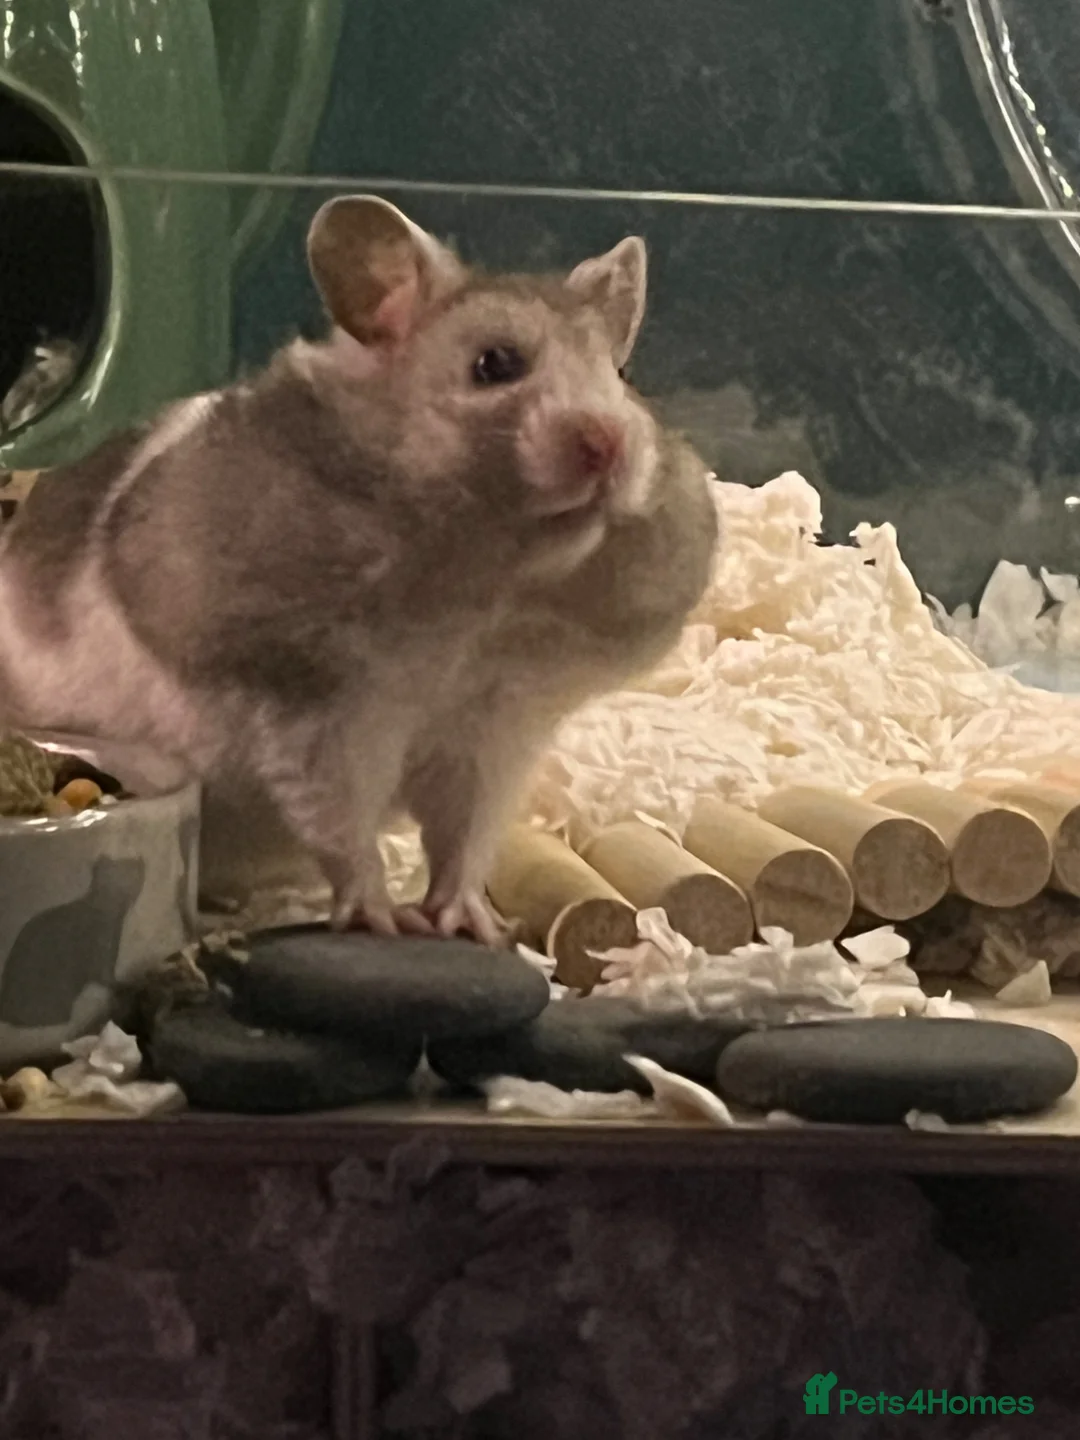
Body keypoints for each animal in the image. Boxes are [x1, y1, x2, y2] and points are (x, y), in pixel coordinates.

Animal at [0, 195, 718, 943]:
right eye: (495, 363)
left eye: (621, 377)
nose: (609, 444)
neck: (488, 582)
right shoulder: (318, 711)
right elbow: (343, 826)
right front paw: (385, 918)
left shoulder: (495, 732)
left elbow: (465, 839)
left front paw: (475, 925)